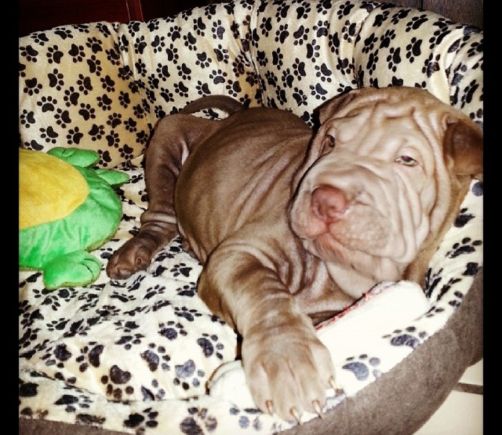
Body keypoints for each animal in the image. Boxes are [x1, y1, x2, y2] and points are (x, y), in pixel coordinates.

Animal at [107, 87, 482, 421]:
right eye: (330, 142)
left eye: (407, 160)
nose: (325, 200)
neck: (347, 270)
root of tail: (227, 121)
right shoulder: (240, 253)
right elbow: (265, 294)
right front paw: (287, 362)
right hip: (168, 135)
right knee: (160, 216)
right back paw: (133, 254)